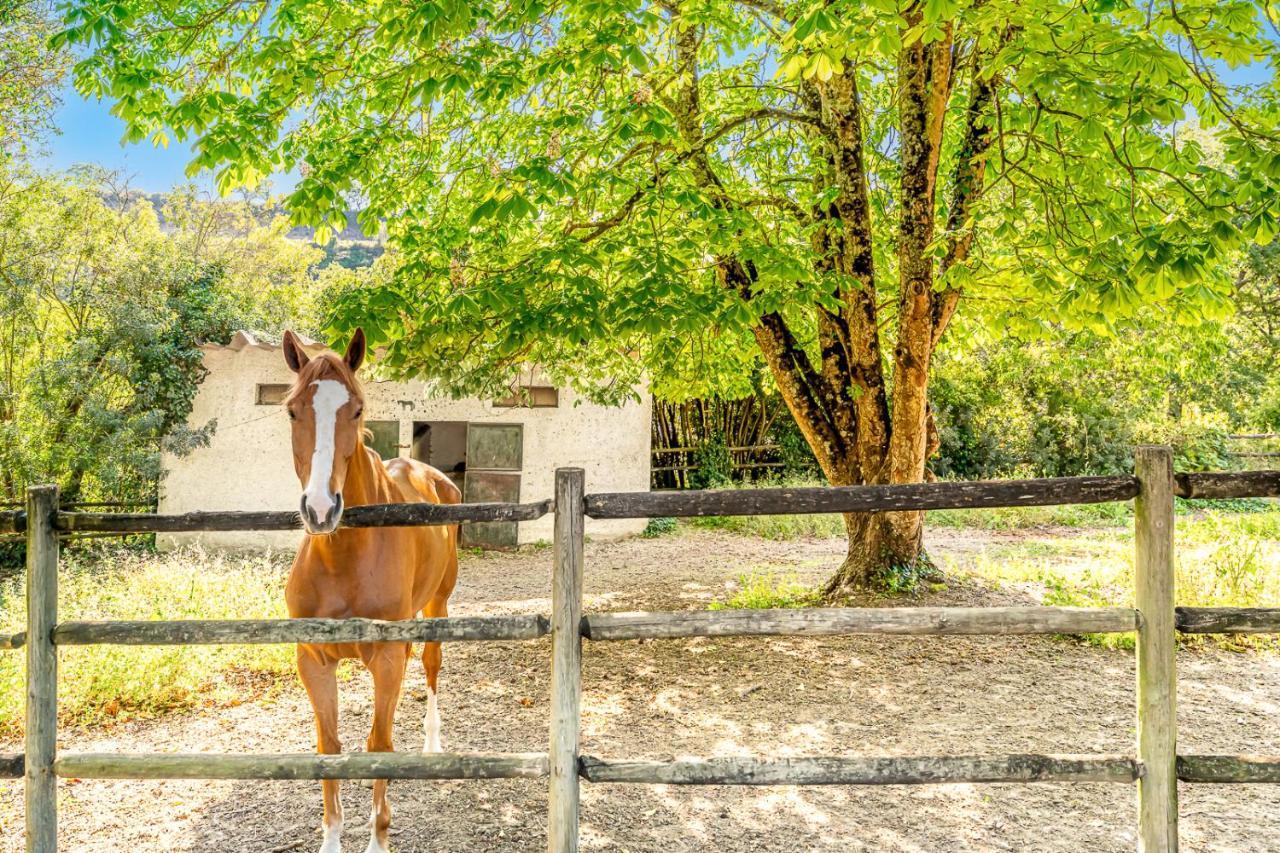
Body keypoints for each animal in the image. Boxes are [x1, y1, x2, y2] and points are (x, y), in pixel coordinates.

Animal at [282, 327, 463, 850]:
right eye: (293, 409)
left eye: (358, 409)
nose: (321, 509)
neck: (343, 559)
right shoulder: (312, 658)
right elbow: (330, 746)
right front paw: (331, 837)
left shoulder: (384, 656)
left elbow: (378, 744)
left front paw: (378, 837)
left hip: (438, 606)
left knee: (431, 666)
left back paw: (431, 743)